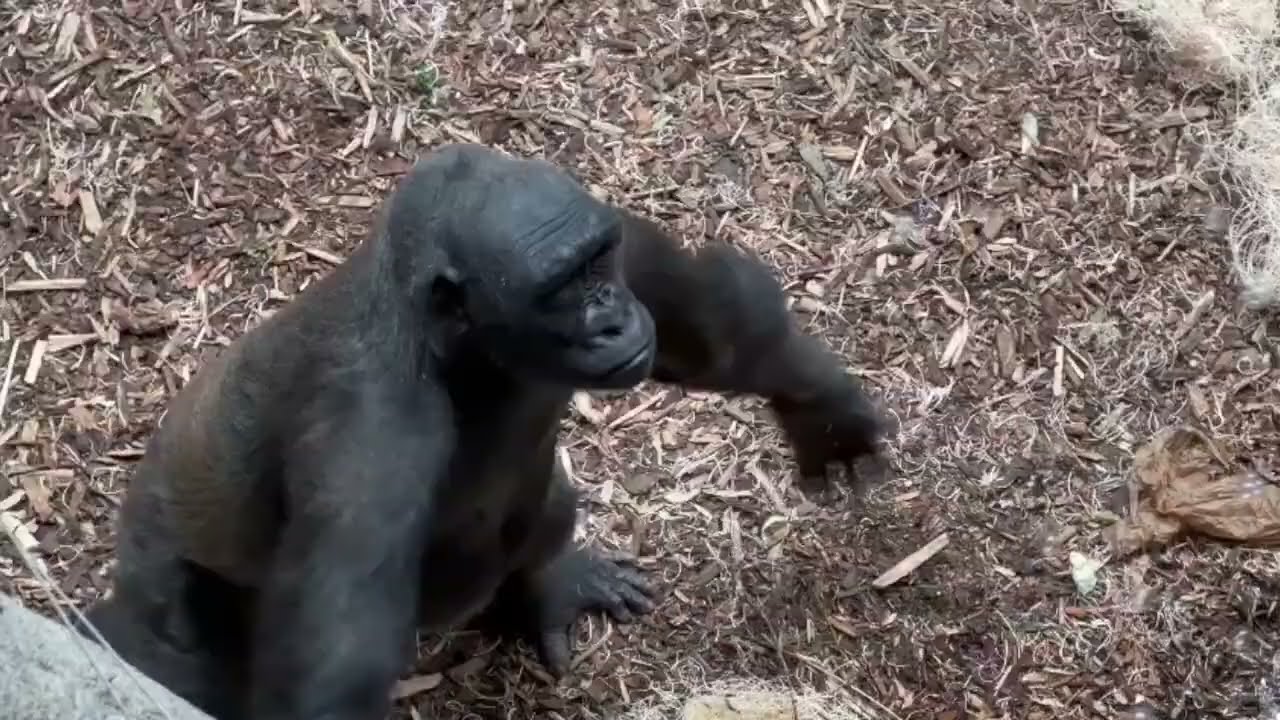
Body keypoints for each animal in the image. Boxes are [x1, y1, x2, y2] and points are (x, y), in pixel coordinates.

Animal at [81, 143, 889, 720]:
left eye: (596, 262)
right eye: (559, 288)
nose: (611, 320)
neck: (465, 342)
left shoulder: (627, 241)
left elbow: (713, 335)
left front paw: (824, 414)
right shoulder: (370, 428)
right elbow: (336, 664)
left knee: (542, 506)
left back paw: (547, 586)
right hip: (159, 572)